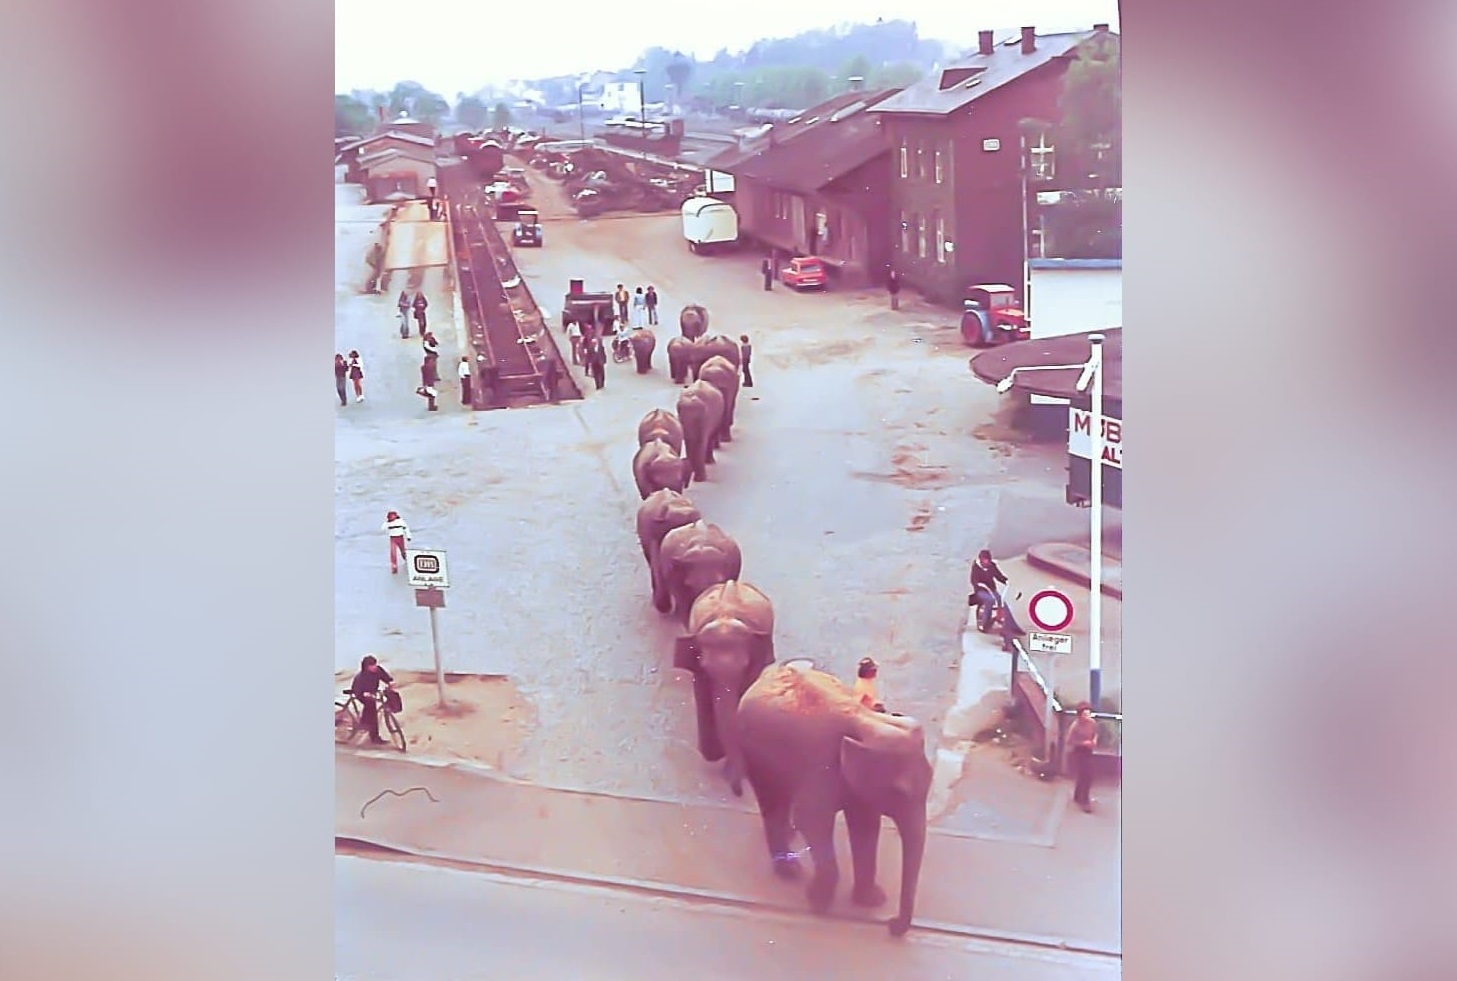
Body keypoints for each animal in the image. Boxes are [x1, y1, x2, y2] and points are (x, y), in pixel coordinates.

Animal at [670, 583, 775, 792]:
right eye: (705, 666)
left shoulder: (755, 663)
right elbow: (703, 695)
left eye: (744, 665)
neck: (724, 618)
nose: (738, 789)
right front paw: (712, 755)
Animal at [740, 661, 932, 938]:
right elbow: (812, 821)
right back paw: (790, 872)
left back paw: (790, 836)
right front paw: (818, 905)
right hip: (753, 749)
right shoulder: (820, 765)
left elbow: (865, 825)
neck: (866, 720)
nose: (891, 924)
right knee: (771, 798)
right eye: (898, 792)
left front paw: (872, 901)